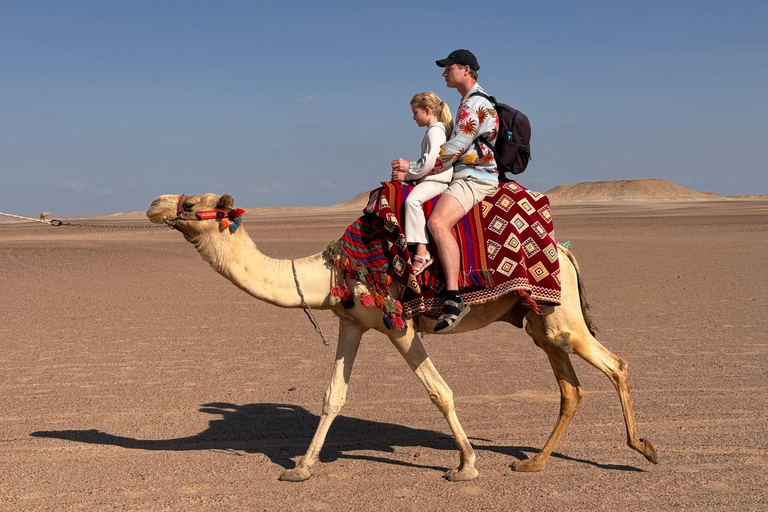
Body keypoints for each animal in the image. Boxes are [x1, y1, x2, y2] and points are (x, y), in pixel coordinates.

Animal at [146, 192, 658, 482]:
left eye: (189, 204)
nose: (154, 204)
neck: (331, 269)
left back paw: (642, 449)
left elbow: (439, 391)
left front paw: (466, 467)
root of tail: (566, 254)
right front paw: (302, 468)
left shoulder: (401, 325)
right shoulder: (351, 321)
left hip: (559, 314)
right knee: (571, 389)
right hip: (538, 321)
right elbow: (333, 395)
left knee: (615, 365)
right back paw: (532, 463)